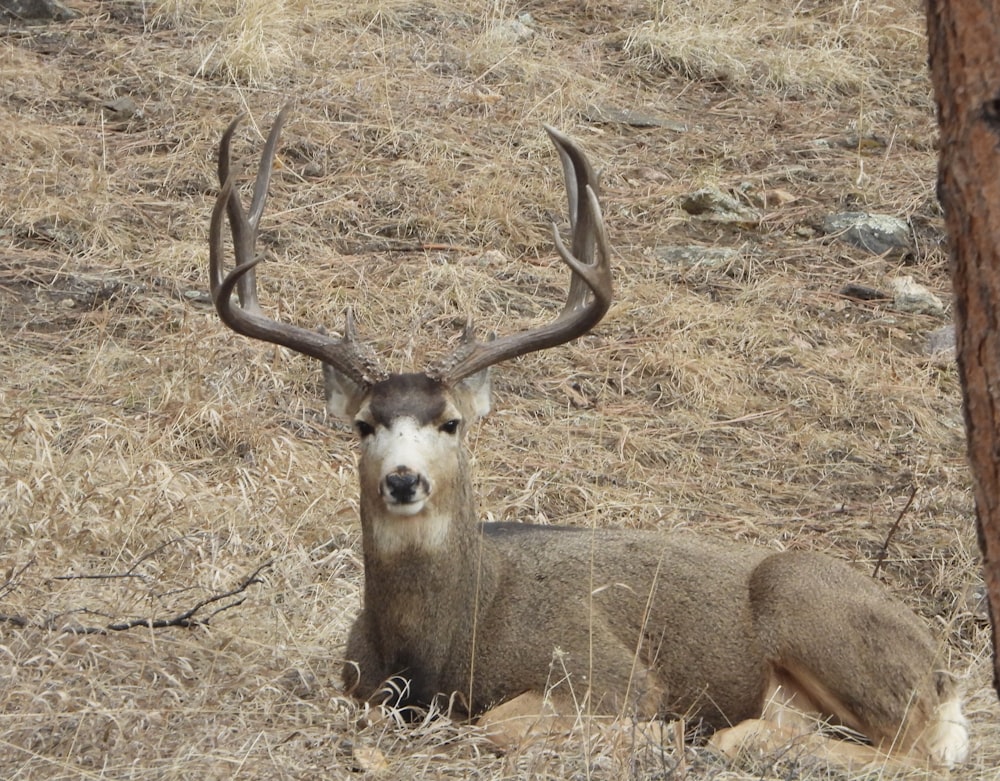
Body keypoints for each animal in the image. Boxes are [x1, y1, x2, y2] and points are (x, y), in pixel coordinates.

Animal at [209, 106, 968, 772]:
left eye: (451, 422)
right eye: (364, 424)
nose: (403, 479)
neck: (441, 643)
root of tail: (942, 669)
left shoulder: (605, 670)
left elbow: (497, 722)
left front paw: (659, 732)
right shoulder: (355, 682)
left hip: (810, 606)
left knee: (919, 751)